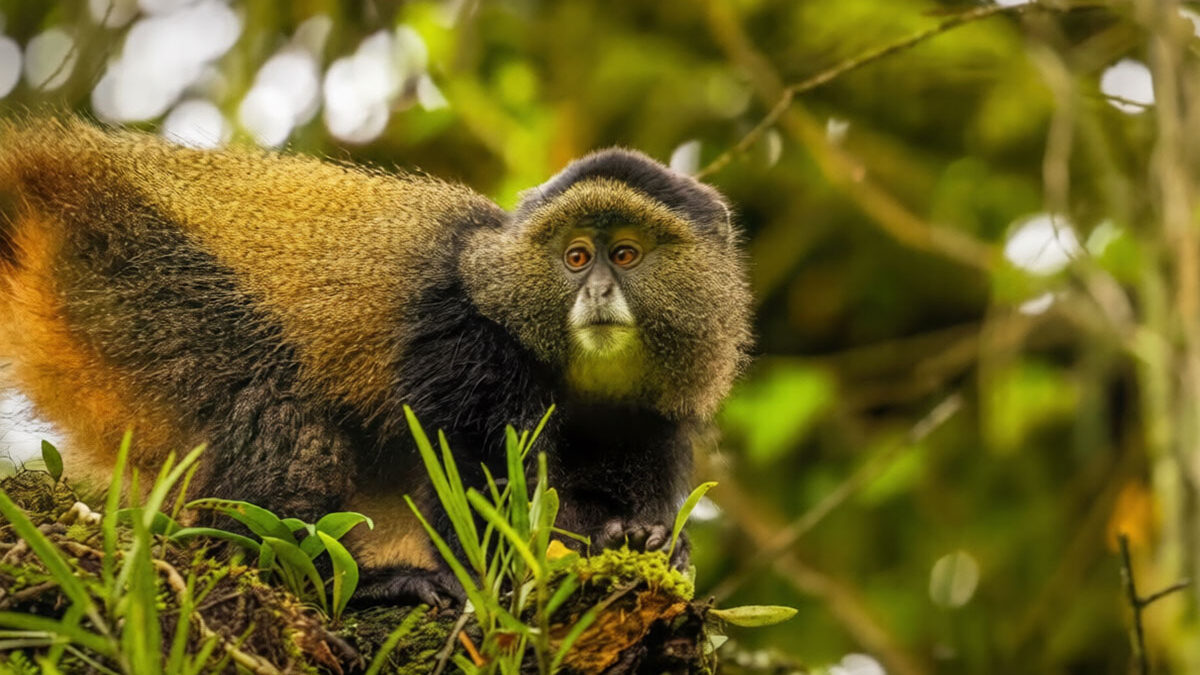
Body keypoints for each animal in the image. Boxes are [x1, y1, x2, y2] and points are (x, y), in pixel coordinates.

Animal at [0, 116, 752, 604]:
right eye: (574, 257)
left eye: (624, 253)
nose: (595, 291)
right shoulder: (463, 338)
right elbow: (473, 481)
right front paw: (579, 547)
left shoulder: (650, 411)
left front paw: (651, 537)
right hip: (130, 276)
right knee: (282, 414)